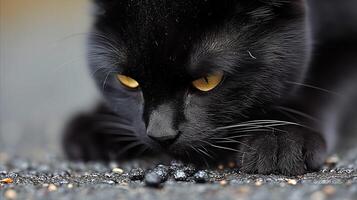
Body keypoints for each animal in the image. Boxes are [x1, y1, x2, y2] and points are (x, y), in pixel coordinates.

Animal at [62, 0, 356, 175]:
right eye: (128, 81)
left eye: (207, 81)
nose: (160, 133)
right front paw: (96, 127)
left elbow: (320, 84)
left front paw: (282, 137)